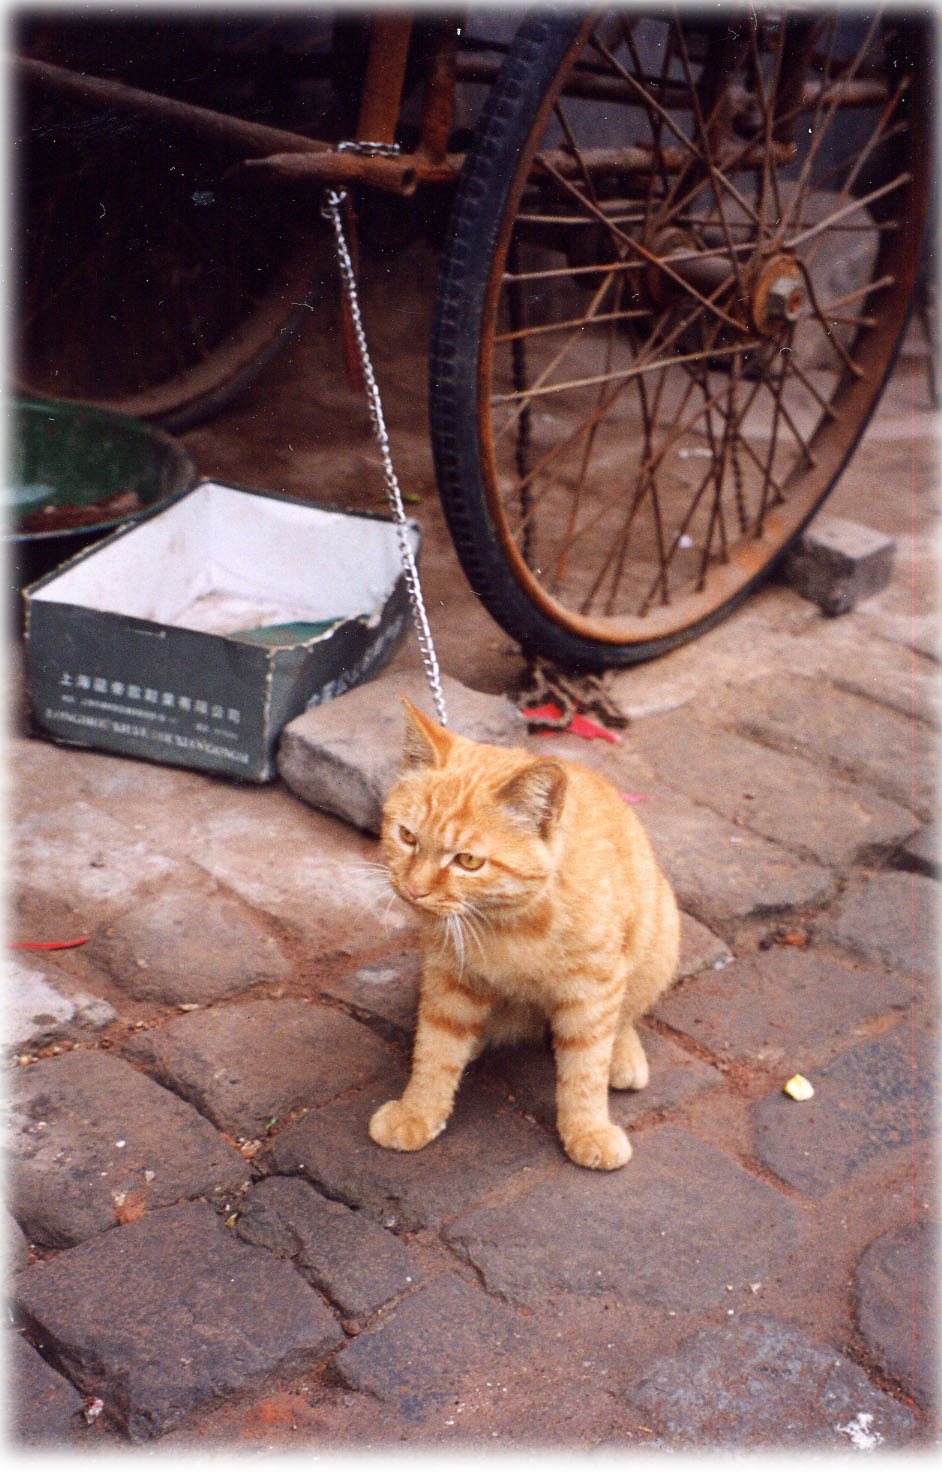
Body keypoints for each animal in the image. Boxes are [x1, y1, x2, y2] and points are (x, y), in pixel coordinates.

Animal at [368, 697, 680, 1171]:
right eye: (406, 836)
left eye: (469, 861)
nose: (414, 889)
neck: (506, 923)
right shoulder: (449, 979)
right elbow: (435, 1051)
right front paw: (417, 1112)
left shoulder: (593, 990)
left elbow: (586, 1067)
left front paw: (587, 1129)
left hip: (658, 939)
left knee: (626, 1014)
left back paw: (622, 1055)